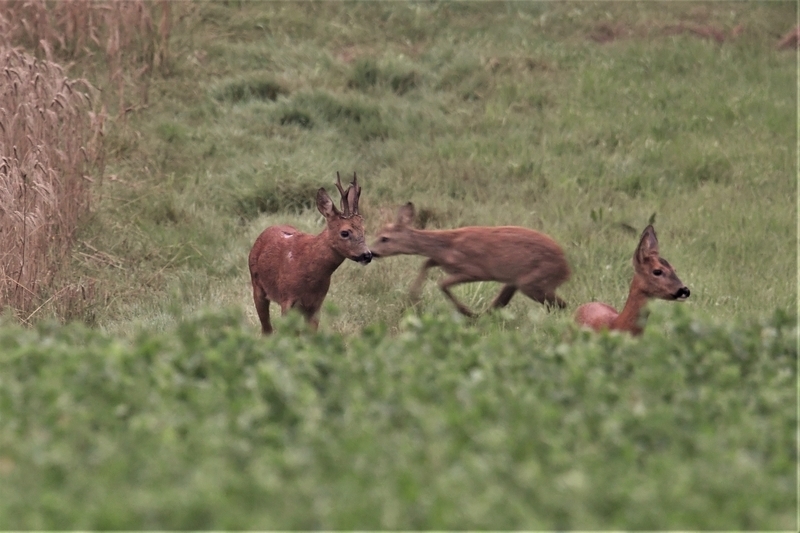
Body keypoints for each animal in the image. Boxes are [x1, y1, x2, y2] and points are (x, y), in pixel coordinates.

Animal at [248, 174, 374, 332]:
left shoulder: (316, 304)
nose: (367, 255)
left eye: (363, 230)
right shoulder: (287, 299)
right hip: (257, 286)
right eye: (345, 232)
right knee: (266, 328)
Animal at [368, 202, 568, 314]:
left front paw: (464, 310)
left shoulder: (474, 270)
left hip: (533, 282)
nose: (370, 253)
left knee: (561, 305)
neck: (447, 246)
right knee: (499, 306)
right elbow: (427, 263)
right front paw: (413, 296)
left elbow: (442, 283)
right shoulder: (442, 261)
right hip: (516, 282)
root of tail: (566, 269)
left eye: (384, 238)